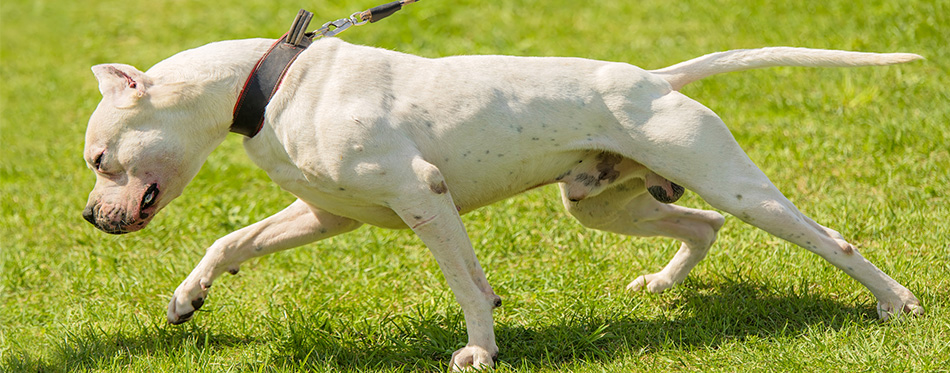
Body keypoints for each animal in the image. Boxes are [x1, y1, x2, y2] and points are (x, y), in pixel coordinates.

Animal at [85, 35, 924, 370]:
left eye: (99, 159)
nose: (91, 219)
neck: (268, 82)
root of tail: (658, 78)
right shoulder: (329, 215)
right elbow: (230, 241)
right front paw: (187, 299)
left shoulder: (422, 198)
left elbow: (465, 283)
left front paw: (480, 351)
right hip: (606, 202)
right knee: (702, 222)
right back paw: (661, 282)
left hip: (737, 185)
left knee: (829, 239)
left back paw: (896, 302)